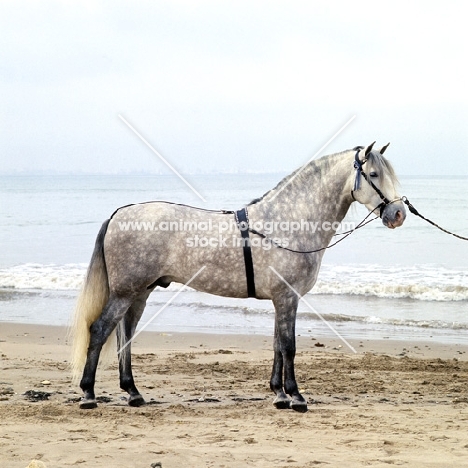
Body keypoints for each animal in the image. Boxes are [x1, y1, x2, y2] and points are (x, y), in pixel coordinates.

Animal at [71, 141, 404, 412]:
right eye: (374, 174)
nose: (398, 214)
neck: (287, 222)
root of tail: (119, 215)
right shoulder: (288, 297)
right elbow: (289, 346)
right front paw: (296, 397)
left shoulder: (281, 299)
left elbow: (277, 345)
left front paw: (278, 395)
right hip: (125, 292)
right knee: (99, 330)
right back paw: (88, 394)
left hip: (140, 292)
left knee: (124, 335)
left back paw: (133, 392)